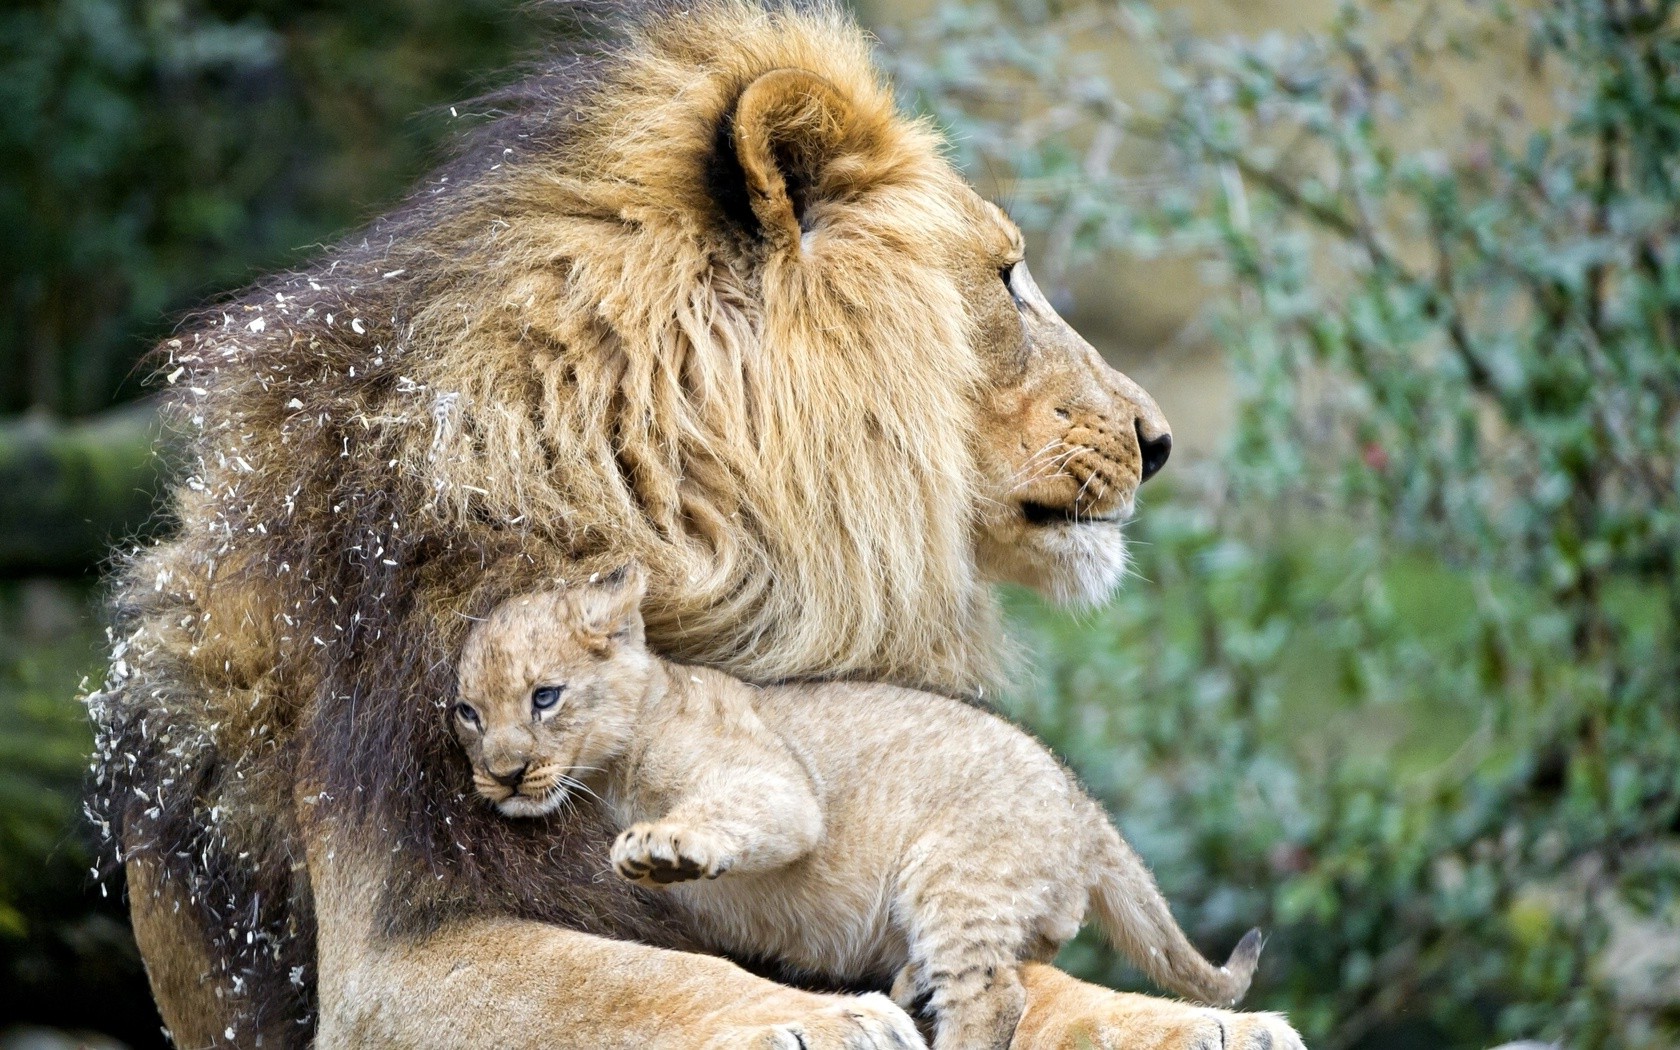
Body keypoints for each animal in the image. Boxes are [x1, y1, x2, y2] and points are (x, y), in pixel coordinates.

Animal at [87, 2, 1303, 1048]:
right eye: (1006, 278)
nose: (1159, 439)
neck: (683, 542)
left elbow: (1027, 970)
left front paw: (1196, 1020)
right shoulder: (387, 950)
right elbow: (619, 974)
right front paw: (815, 1016)